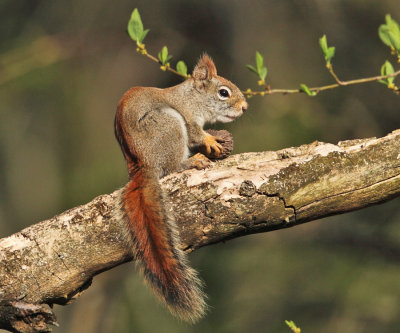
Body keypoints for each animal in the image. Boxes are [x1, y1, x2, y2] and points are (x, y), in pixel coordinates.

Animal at [113, 54, 247, 322]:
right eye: (223, 93)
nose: (245, 107)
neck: (191, 97)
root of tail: (144, 166)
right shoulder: (187, 117)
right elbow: (196, 134)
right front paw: (210, 140)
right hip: (169, 125)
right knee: (173, 167)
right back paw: (192, 161)